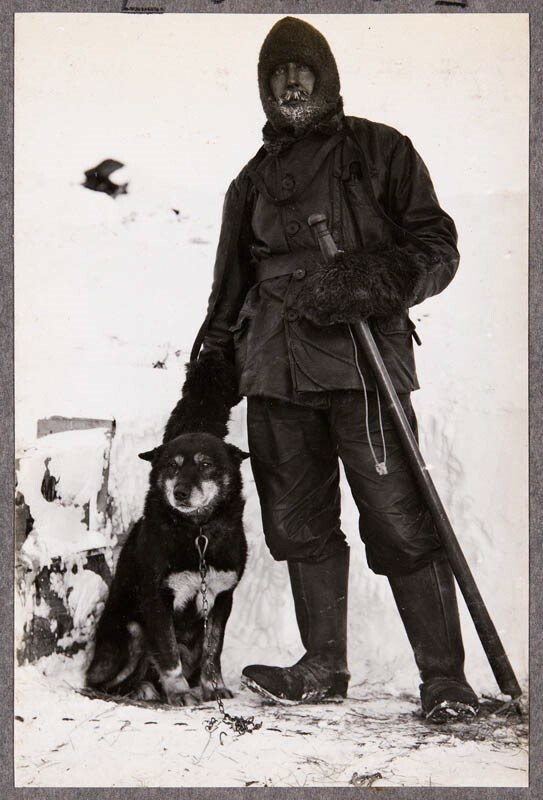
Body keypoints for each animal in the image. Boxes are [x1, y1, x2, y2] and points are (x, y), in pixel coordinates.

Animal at [86, 432, 248, 708]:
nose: (180, 492)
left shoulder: (222, 599)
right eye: (173, 465)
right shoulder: (158, 599)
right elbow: (169, 654)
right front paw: (179, 692)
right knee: (103, 683)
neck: (198, 533)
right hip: (132, 630)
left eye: (205, 465)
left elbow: (213, 651)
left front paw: (213, 688)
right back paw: (142, 689)